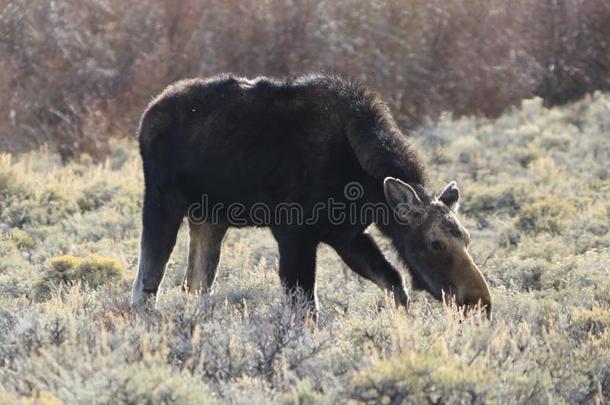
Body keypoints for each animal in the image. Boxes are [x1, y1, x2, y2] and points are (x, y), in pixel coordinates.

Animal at [131, 74, 492, 318]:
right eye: (435, 243)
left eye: (466, 238)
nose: (479, 301)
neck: (364, 188)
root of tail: (146, 116)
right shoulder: (294, 234)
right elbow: (306, 308)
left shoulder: (346, 235)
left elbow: (394, 283)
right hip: (163, 200)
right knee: (147, 281)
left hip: (209, 217)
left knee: (195, 284)